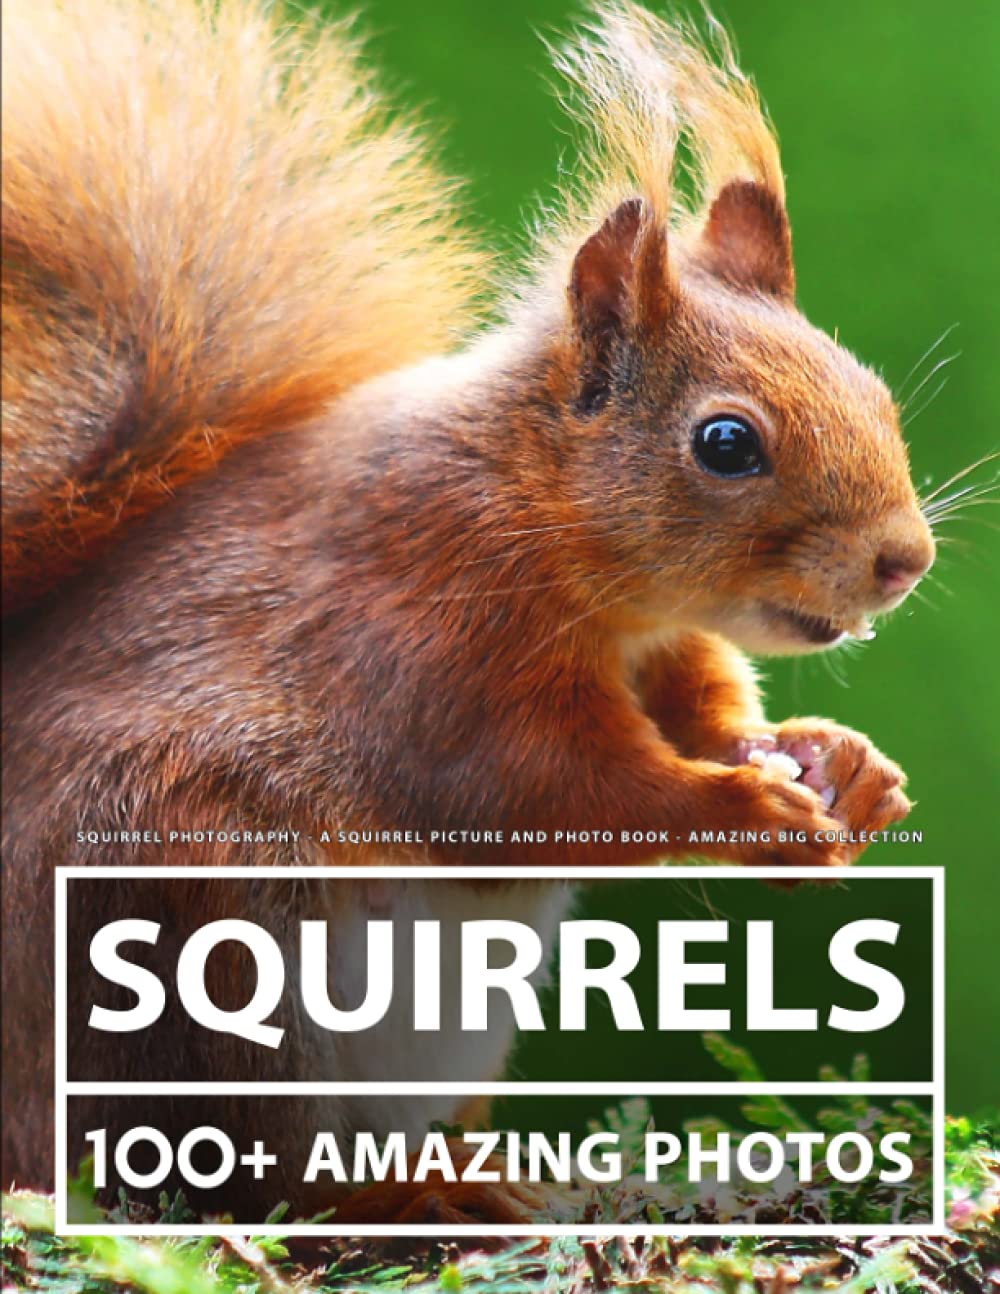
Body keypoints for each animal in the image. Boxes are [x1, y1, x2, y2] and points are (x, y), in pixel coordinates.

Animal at [2, 0, 936, 1224]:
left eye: (871, 390)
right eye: (727, 442)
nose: (904, 560)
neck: (545, 513)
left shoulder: (659, 647)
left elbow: (703, 709)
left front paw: (839, 766)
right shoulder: (429, 630)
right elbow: (537, 789)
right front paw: (745, 809)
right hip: (195, 935)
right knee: (254, 1167)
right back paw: (415, 1198)